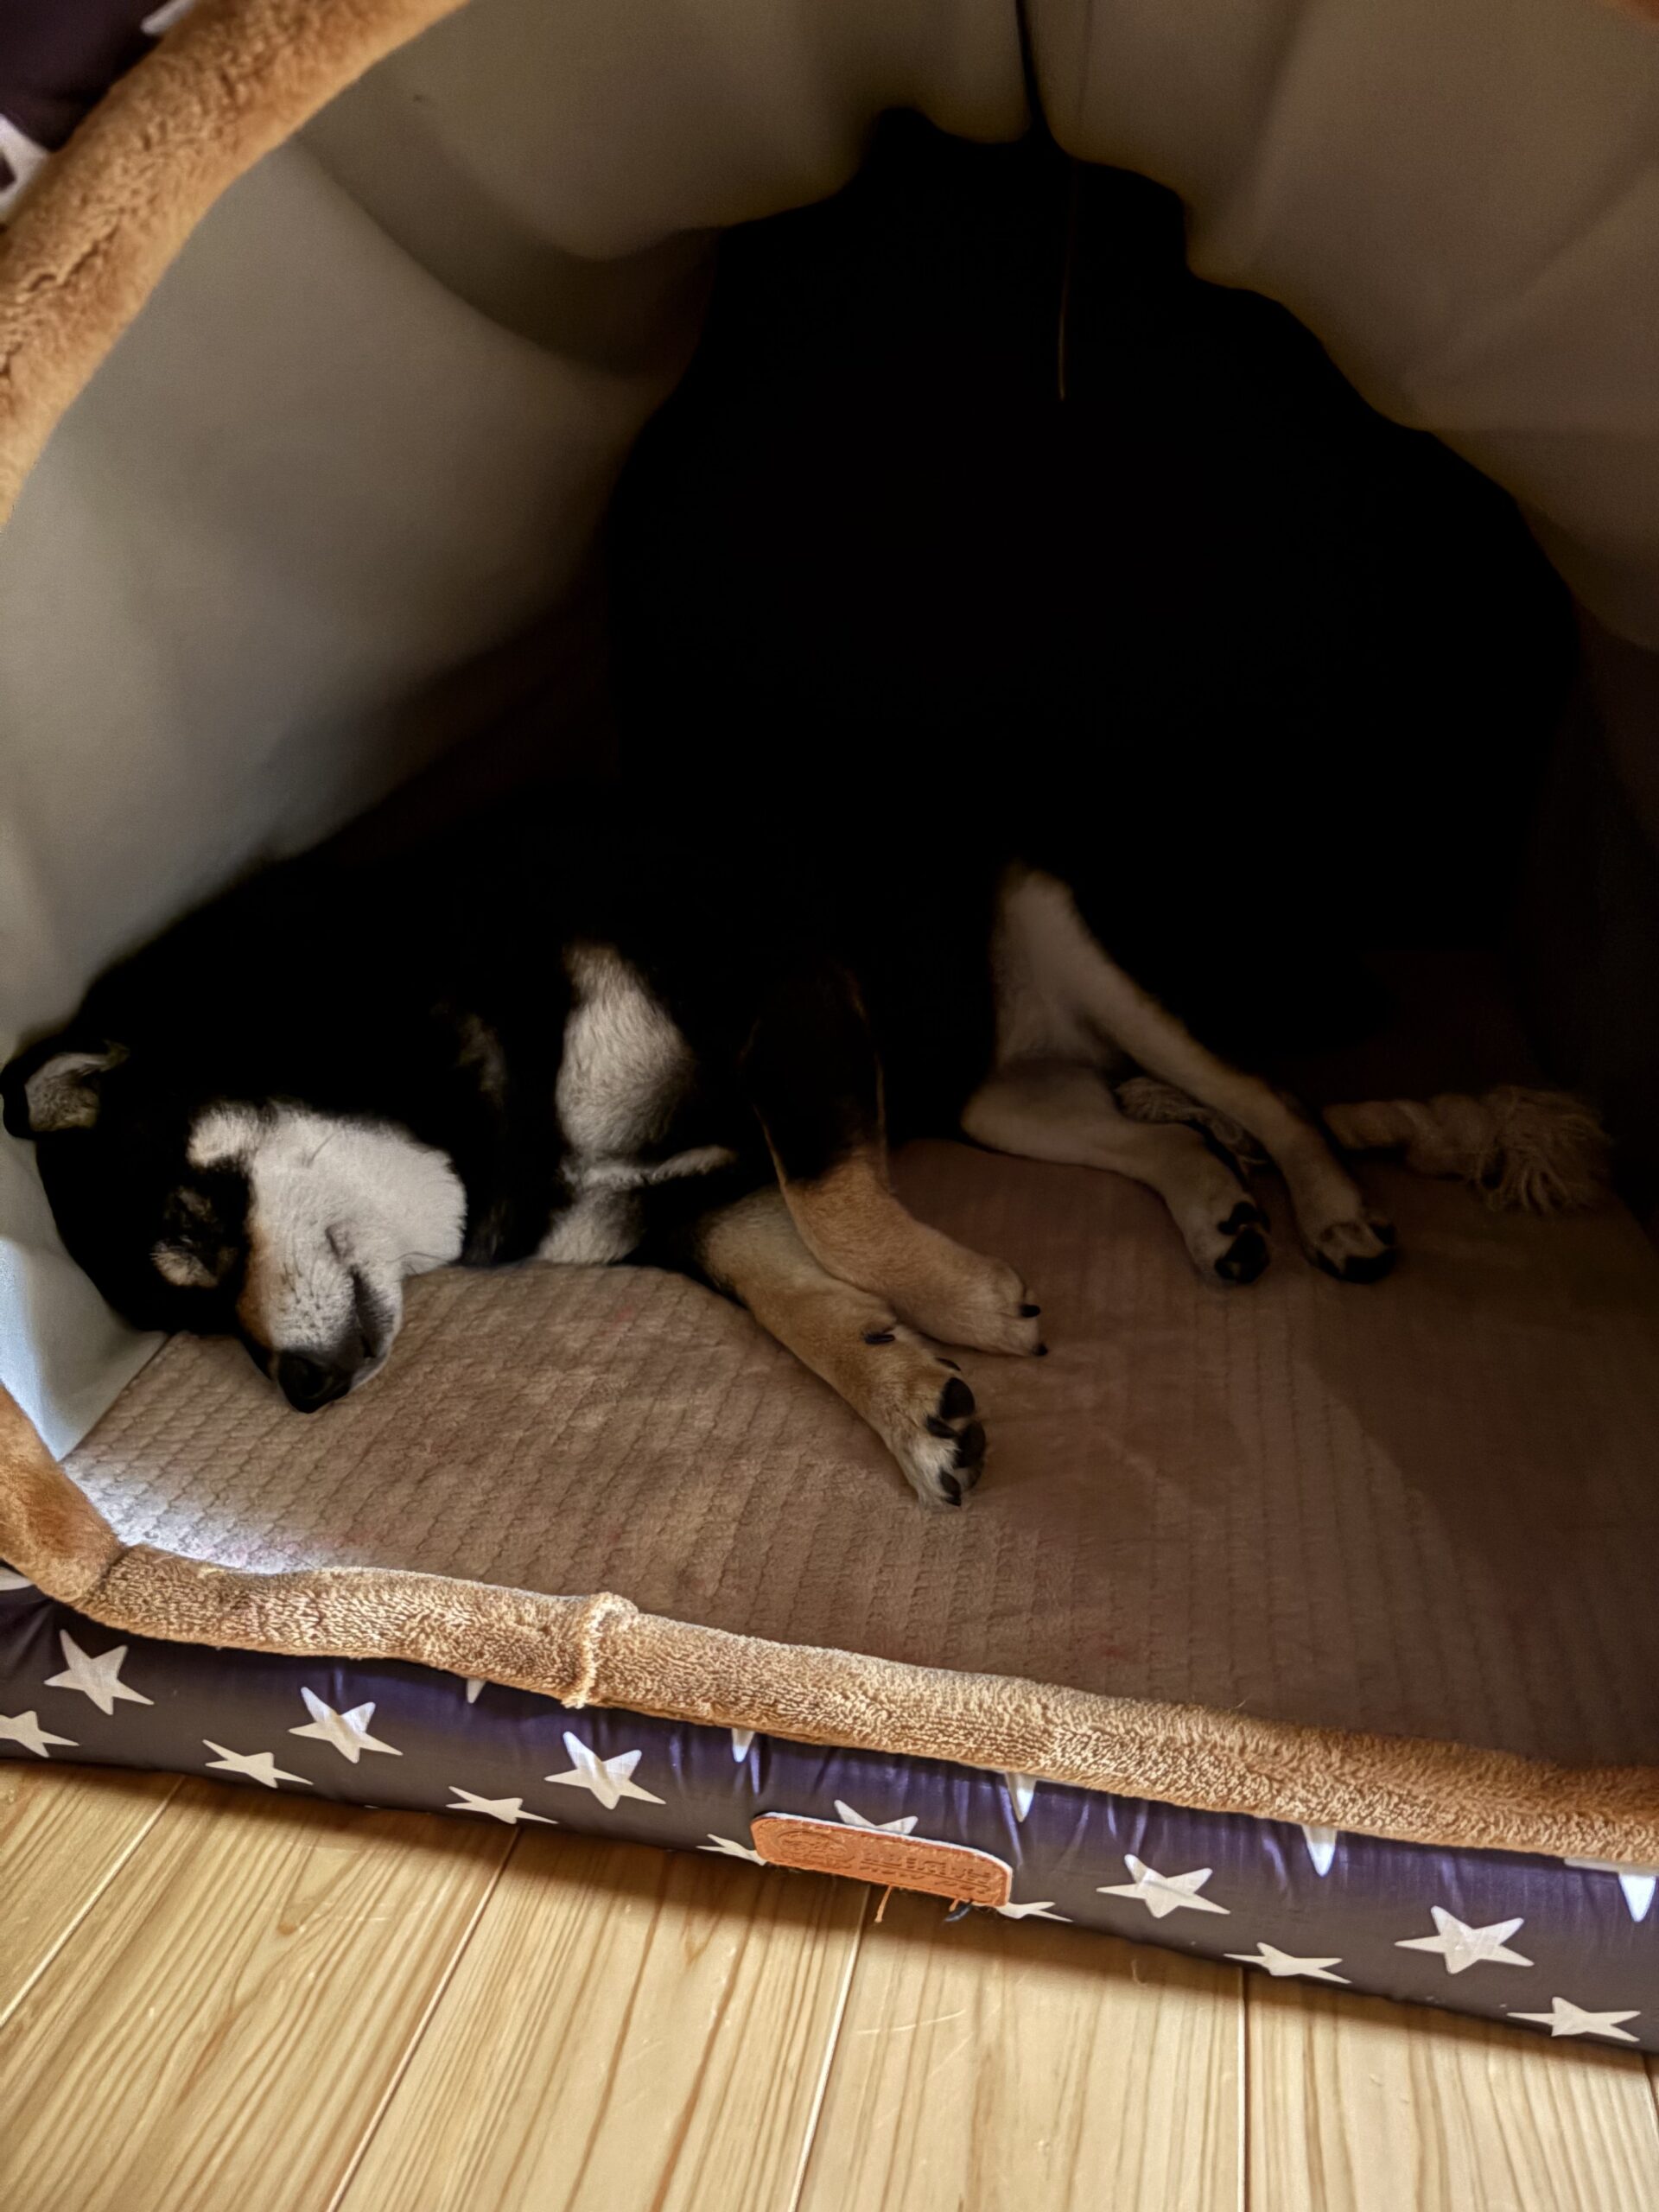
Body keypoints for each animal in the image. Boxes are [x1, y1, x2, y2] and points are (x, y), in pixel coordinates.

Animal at [0, 776, 1602, 1506]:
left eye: (195, 1227)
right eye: (182, 1316)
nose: (304, 1390)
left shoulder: (785, 998)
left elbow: (838, 1212)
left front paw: (966, 1303)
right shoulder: (696, 1209)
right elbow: (807, 1299)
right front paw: (913, 1396)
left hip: (1087, 950)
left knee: (1278, 1096)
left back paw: (1331, 1208)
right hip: (1002, 1094)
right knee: (1158, 1137)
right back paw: (1221, 1212)